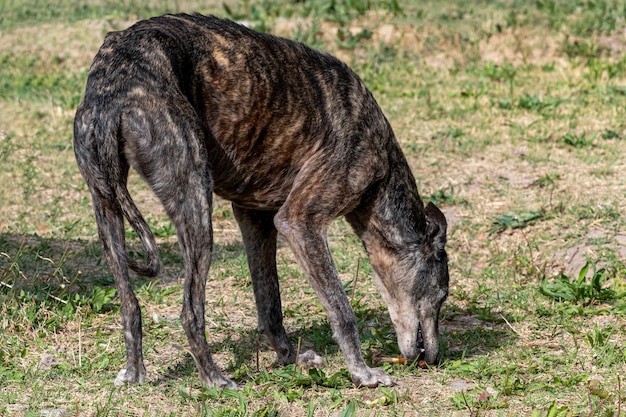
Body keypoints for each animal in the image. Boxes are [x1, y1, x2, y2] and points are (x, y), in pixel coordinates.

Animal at [73, 13, 446, 390]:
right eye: (442, 295)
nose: (433, 359)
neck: (381, 166)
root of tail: (114, 91)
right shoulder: (300, 222)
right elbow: (341, 310)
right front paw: (362, 372)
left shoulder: (255, 217)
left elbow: (270, 304)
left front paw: (291, 358)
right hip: (195, 204)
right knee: (190, 312)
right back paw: (215, 378)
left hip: (106, 207)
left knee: (129, 305)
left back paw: (135, 372)